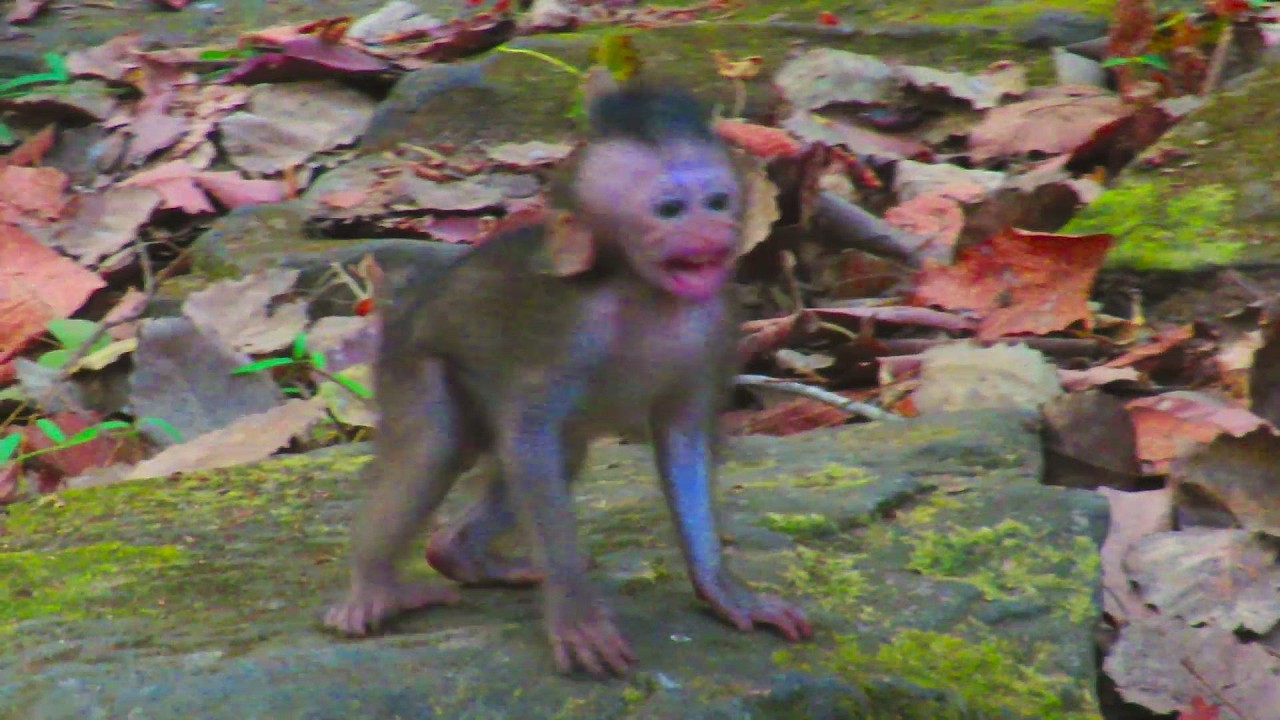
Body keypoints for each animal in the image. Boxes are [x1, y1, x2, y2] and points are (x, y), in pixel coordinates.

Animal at [323, 80, 812, 677]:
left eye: (717, 201)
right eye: (671, 210)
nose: (713, 230)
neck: (644, 293)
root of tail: (404, 303)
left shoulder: (716, 320)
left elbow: (683, 440)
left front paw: (725, 592)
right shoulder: (572, 326)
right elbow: (529, 439)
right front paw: (577, 617)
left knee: (562, 452)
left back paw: (458, 554)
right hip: (410, 358)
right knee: (434, 444)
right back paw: (373, 587)